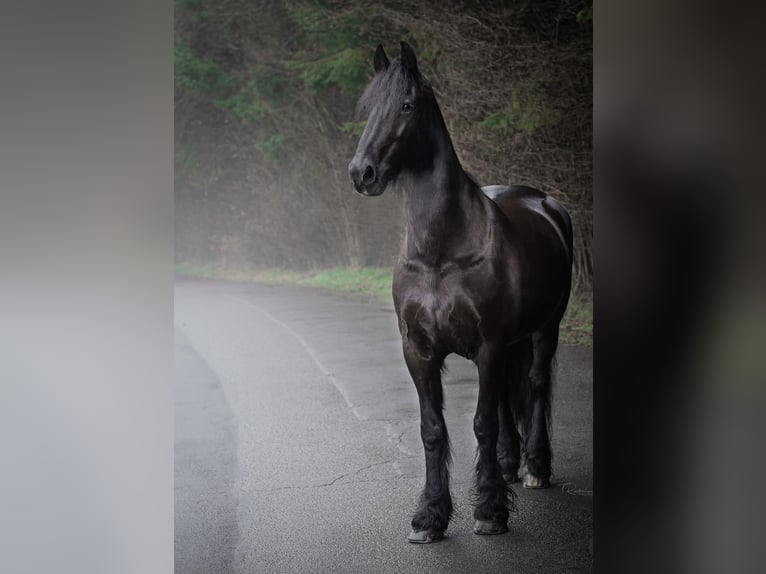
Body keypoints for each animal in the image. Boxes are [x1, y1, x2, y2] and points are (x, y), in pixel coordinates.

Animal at [348, 42, 573, 544]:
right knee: (509, 396)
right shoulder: (419, 350)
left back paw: (535, 467)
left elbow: (482, 423)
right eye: (368, 107)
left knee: (533, 384)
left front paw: (489, 512)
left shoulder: (488, 346)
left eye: (406, 105)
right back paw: (509, 465)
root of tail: (543, 201)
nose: (361, 172)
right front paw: (430, 517)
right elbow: (433, 429)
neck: (440, 253)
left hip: (546, 329)